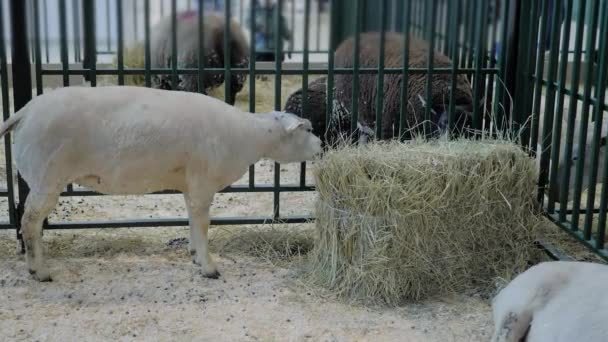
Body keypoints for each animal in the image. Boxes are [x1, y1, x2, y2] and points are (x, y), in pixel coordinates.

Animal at [0, 87, 324, 282]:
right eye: (306, 129)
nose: (322, 147)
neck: (249, 136)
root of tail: (24, 112)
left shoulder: (191, 185)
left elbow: (193, 220)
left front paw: (195, 257)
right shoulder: (203, 183)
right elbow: (203, 224)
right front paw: (209, 268)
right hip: (45, 177)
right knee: (29, 223)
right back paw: (39, 271)